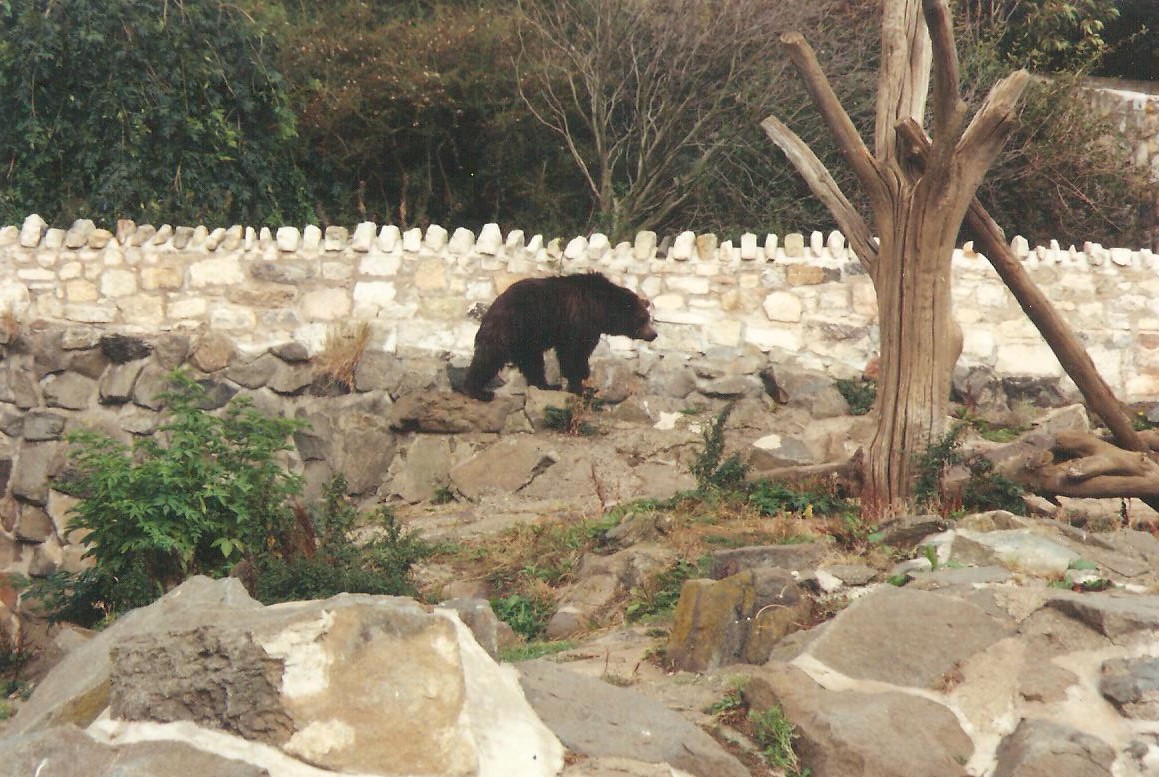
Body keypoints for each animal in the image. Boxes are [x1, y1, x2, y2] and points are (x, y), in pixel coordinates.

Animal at [460, 272, 658, 401]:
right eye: (643, 319)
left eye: (648, 318)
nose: (654, 334)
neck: (601, 308)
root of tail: (493, 306)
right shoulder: (579, 323)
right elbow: (574, 354)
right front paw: (579, 385)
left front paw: (584, 383)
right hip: (512, 327)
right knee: (490, 356)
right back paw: (479, 391)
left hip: (527, 339)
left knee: (532, 362)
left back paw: (546, 385)